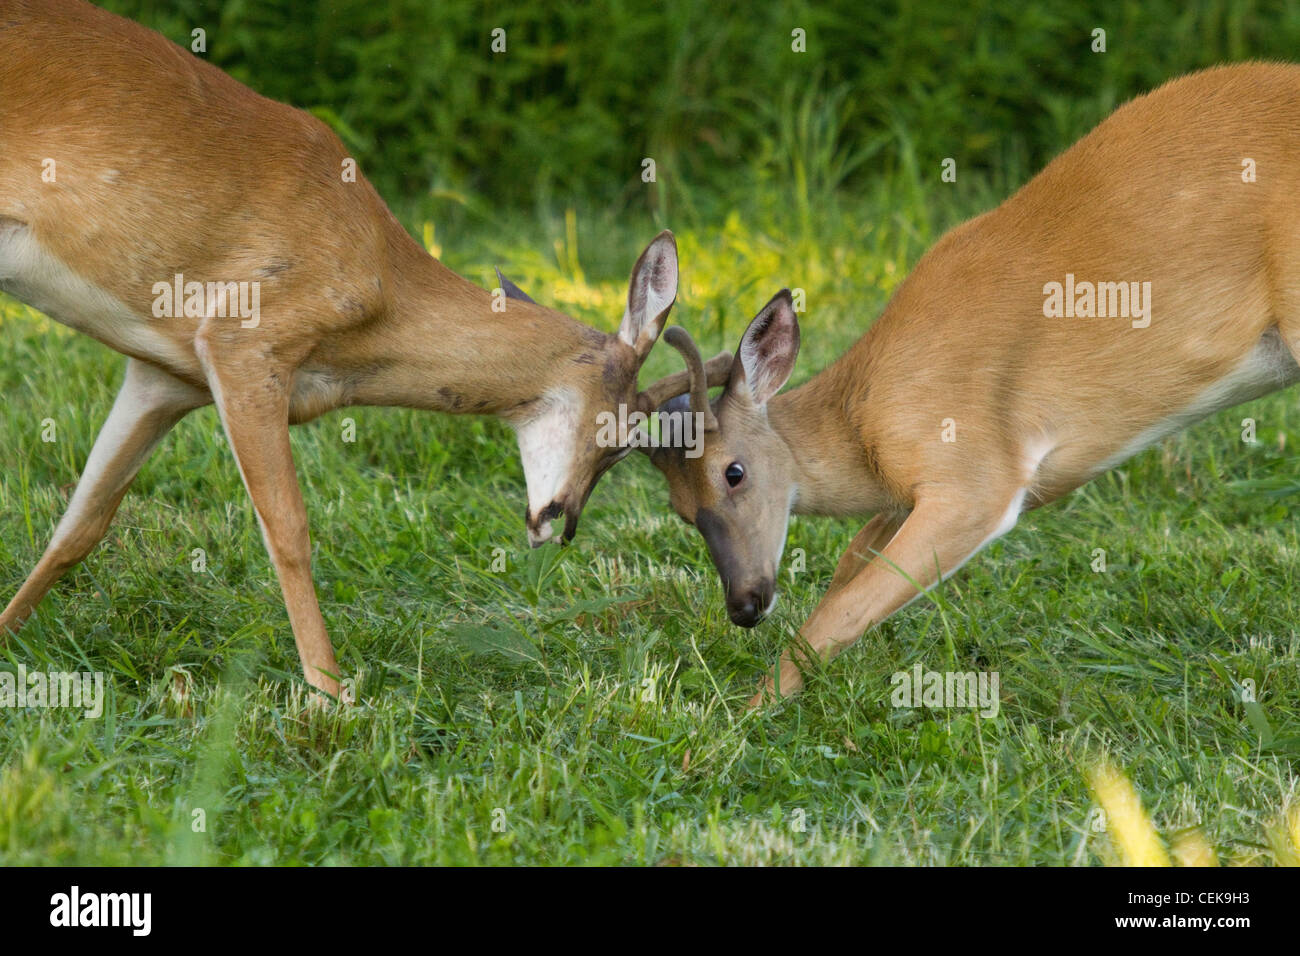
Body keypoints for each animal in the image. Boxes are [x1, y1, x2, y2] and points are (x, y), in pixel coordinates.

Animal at [0, 0, 733, 702]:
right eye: (622, 436)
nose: (561, 523)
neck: (379, 285)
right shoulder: (244, 343)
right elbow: (289, 529)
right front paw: (332, 698)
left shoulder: (164, 377)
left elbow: (82, 523)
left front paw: (6, 635)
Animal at [647, 59, 1300, 702]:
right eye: (679, 508)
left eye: (733, 472)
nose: (744, 605)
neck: (863, 420)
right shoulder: (913, 489)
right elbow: (847, 570)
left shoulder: (975, 474)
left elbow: (843, 613)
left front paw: (746, 712)